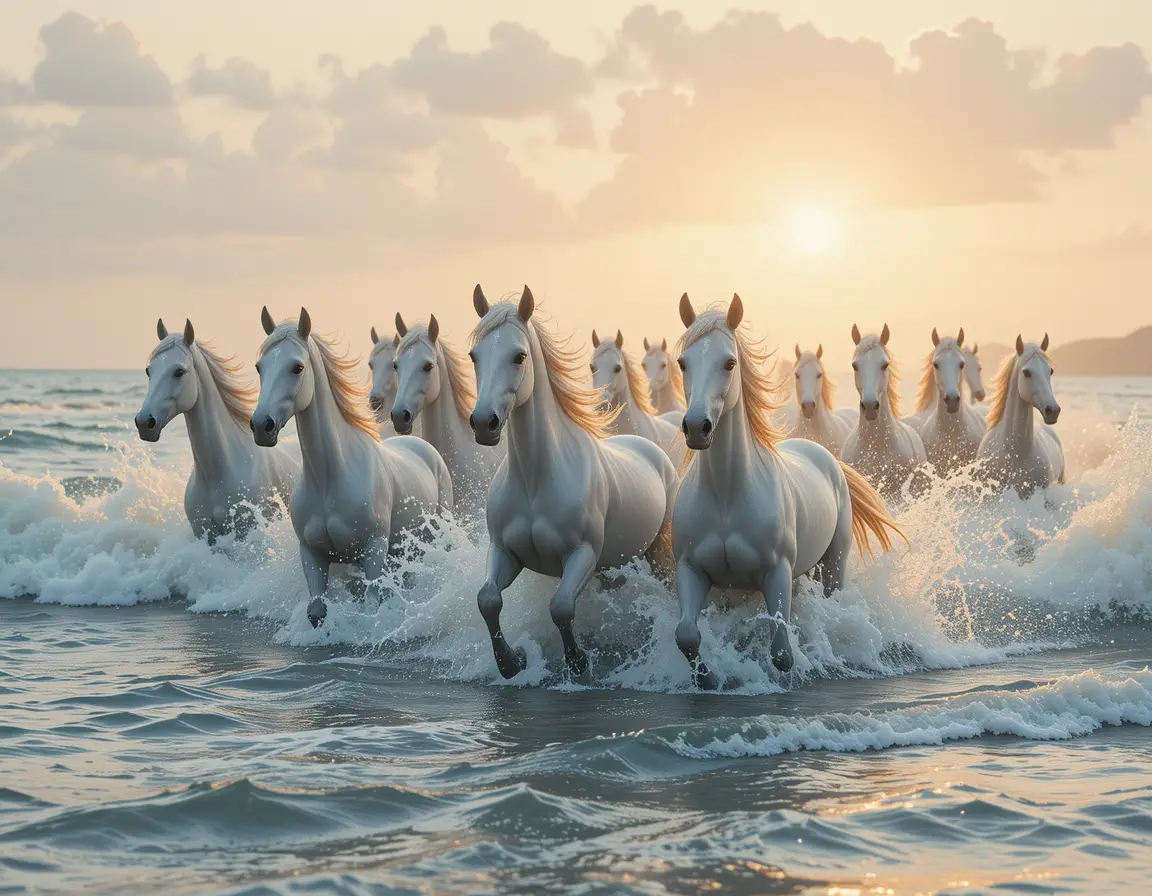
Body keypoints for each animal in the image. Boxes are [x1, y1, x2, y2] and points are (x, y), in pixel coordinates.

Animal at [251, 306, 453, 627]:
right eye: (259, 368)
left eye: (297, 367)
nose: (262, 426)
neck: (330, 477)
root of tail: (425, 449)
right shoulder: (312, 555)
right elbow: (316, 611)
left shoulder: (373, 551)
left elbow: (370, 606)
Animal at [672, 294, 900, 687]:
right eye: (683, 362)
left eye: (729, 363)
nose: (697, 427)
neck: (727, 496)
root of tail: (826, 457)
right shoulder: (692, 570)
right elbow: (686, 635)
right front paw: (708, 679)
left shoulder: (776, 572)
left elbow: (781, 651)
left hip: (834, 564)